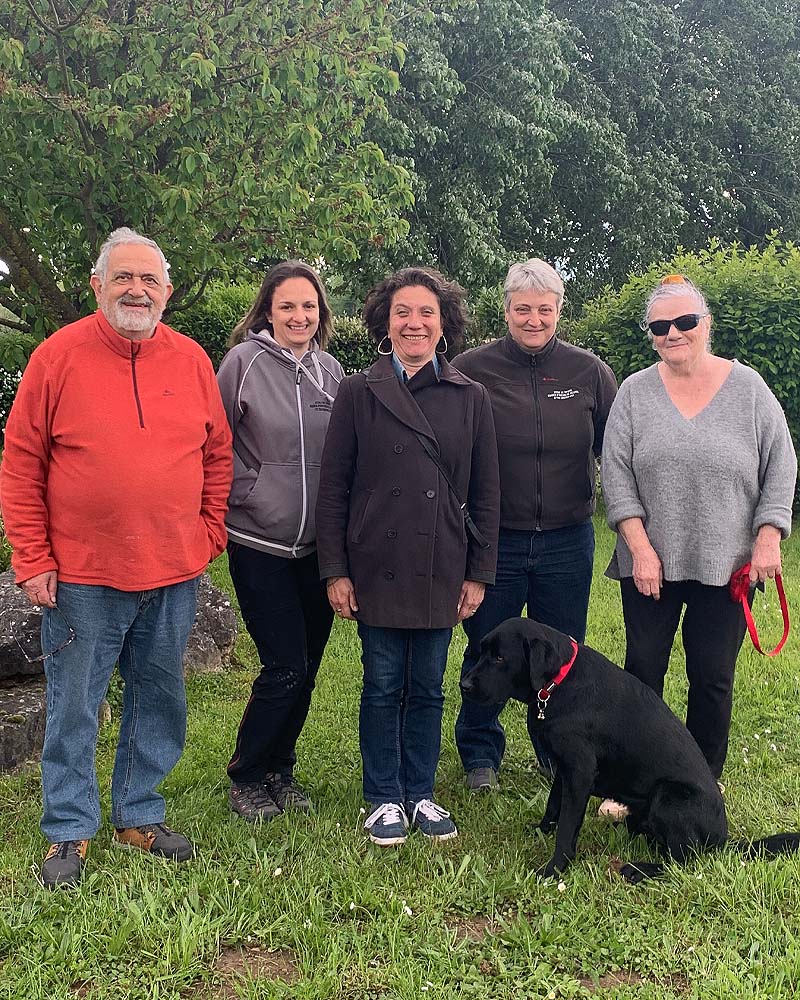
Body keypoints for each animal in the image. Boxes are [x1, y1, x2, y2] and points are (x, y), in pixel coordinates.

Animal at [460, 616, 796, 884]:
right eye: (484, 650)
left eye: (500, 658)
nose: (465, 685)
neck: (559, 684)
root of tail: (723, 839)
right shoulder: (565, 768)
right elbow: (553, 806)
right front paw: (542, 830)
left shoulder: (579, 772)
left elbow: (568, 824)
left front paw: (555, 868)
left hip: (668, 795)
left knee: (685, 860)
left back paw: (639, 869)